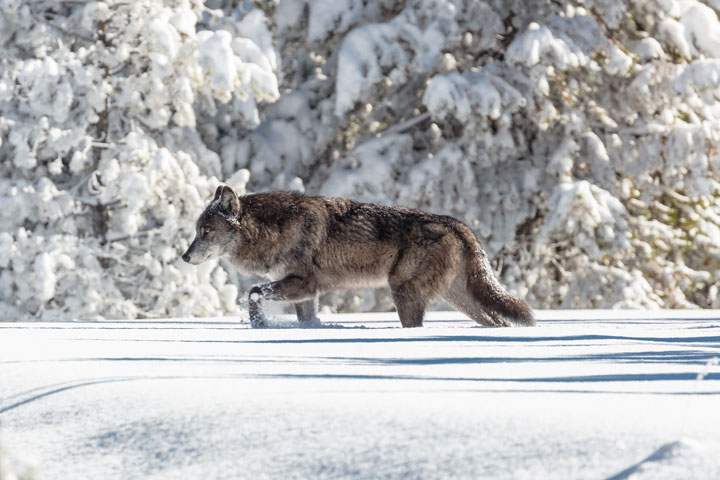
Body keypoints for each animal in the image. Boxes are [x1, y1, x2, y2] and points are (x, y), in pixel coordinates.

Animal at [183, 186, 536, 328]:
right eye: (196, 230)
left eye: (206, 232)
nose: (185, 257)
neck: (273, 229)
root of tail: (457, 224)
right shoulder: (306, 293)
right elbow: (305, 319)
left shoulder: (303, 283)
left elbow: (253, 292)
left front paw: (259, 325)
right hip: (460, 300)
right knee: (497, 321)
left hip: (404, 293)